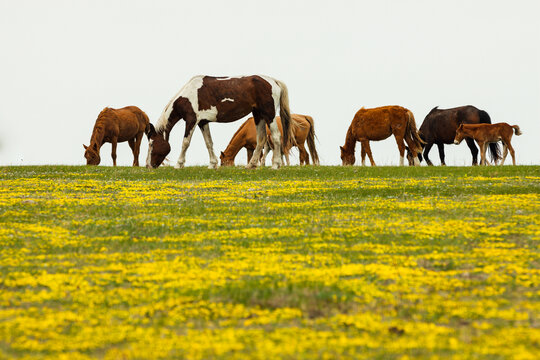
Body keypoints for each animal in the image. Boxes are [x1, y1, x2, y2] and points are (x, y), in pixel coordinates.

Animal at [144, 75, 292, 170]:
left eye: (151, 144)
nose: (148, 166)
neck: (188, 96)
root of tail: (274, 81)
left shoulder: (191, 120)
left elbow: (185, 143)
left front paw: (178, 164)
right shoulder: (202, 122)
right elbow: (209, 143)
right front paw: (212, 164)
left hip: (269, 114)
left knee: (276, 137)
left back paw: (275, 165)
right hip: (258, 115)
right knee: (261, 139)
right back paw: (251, 165)